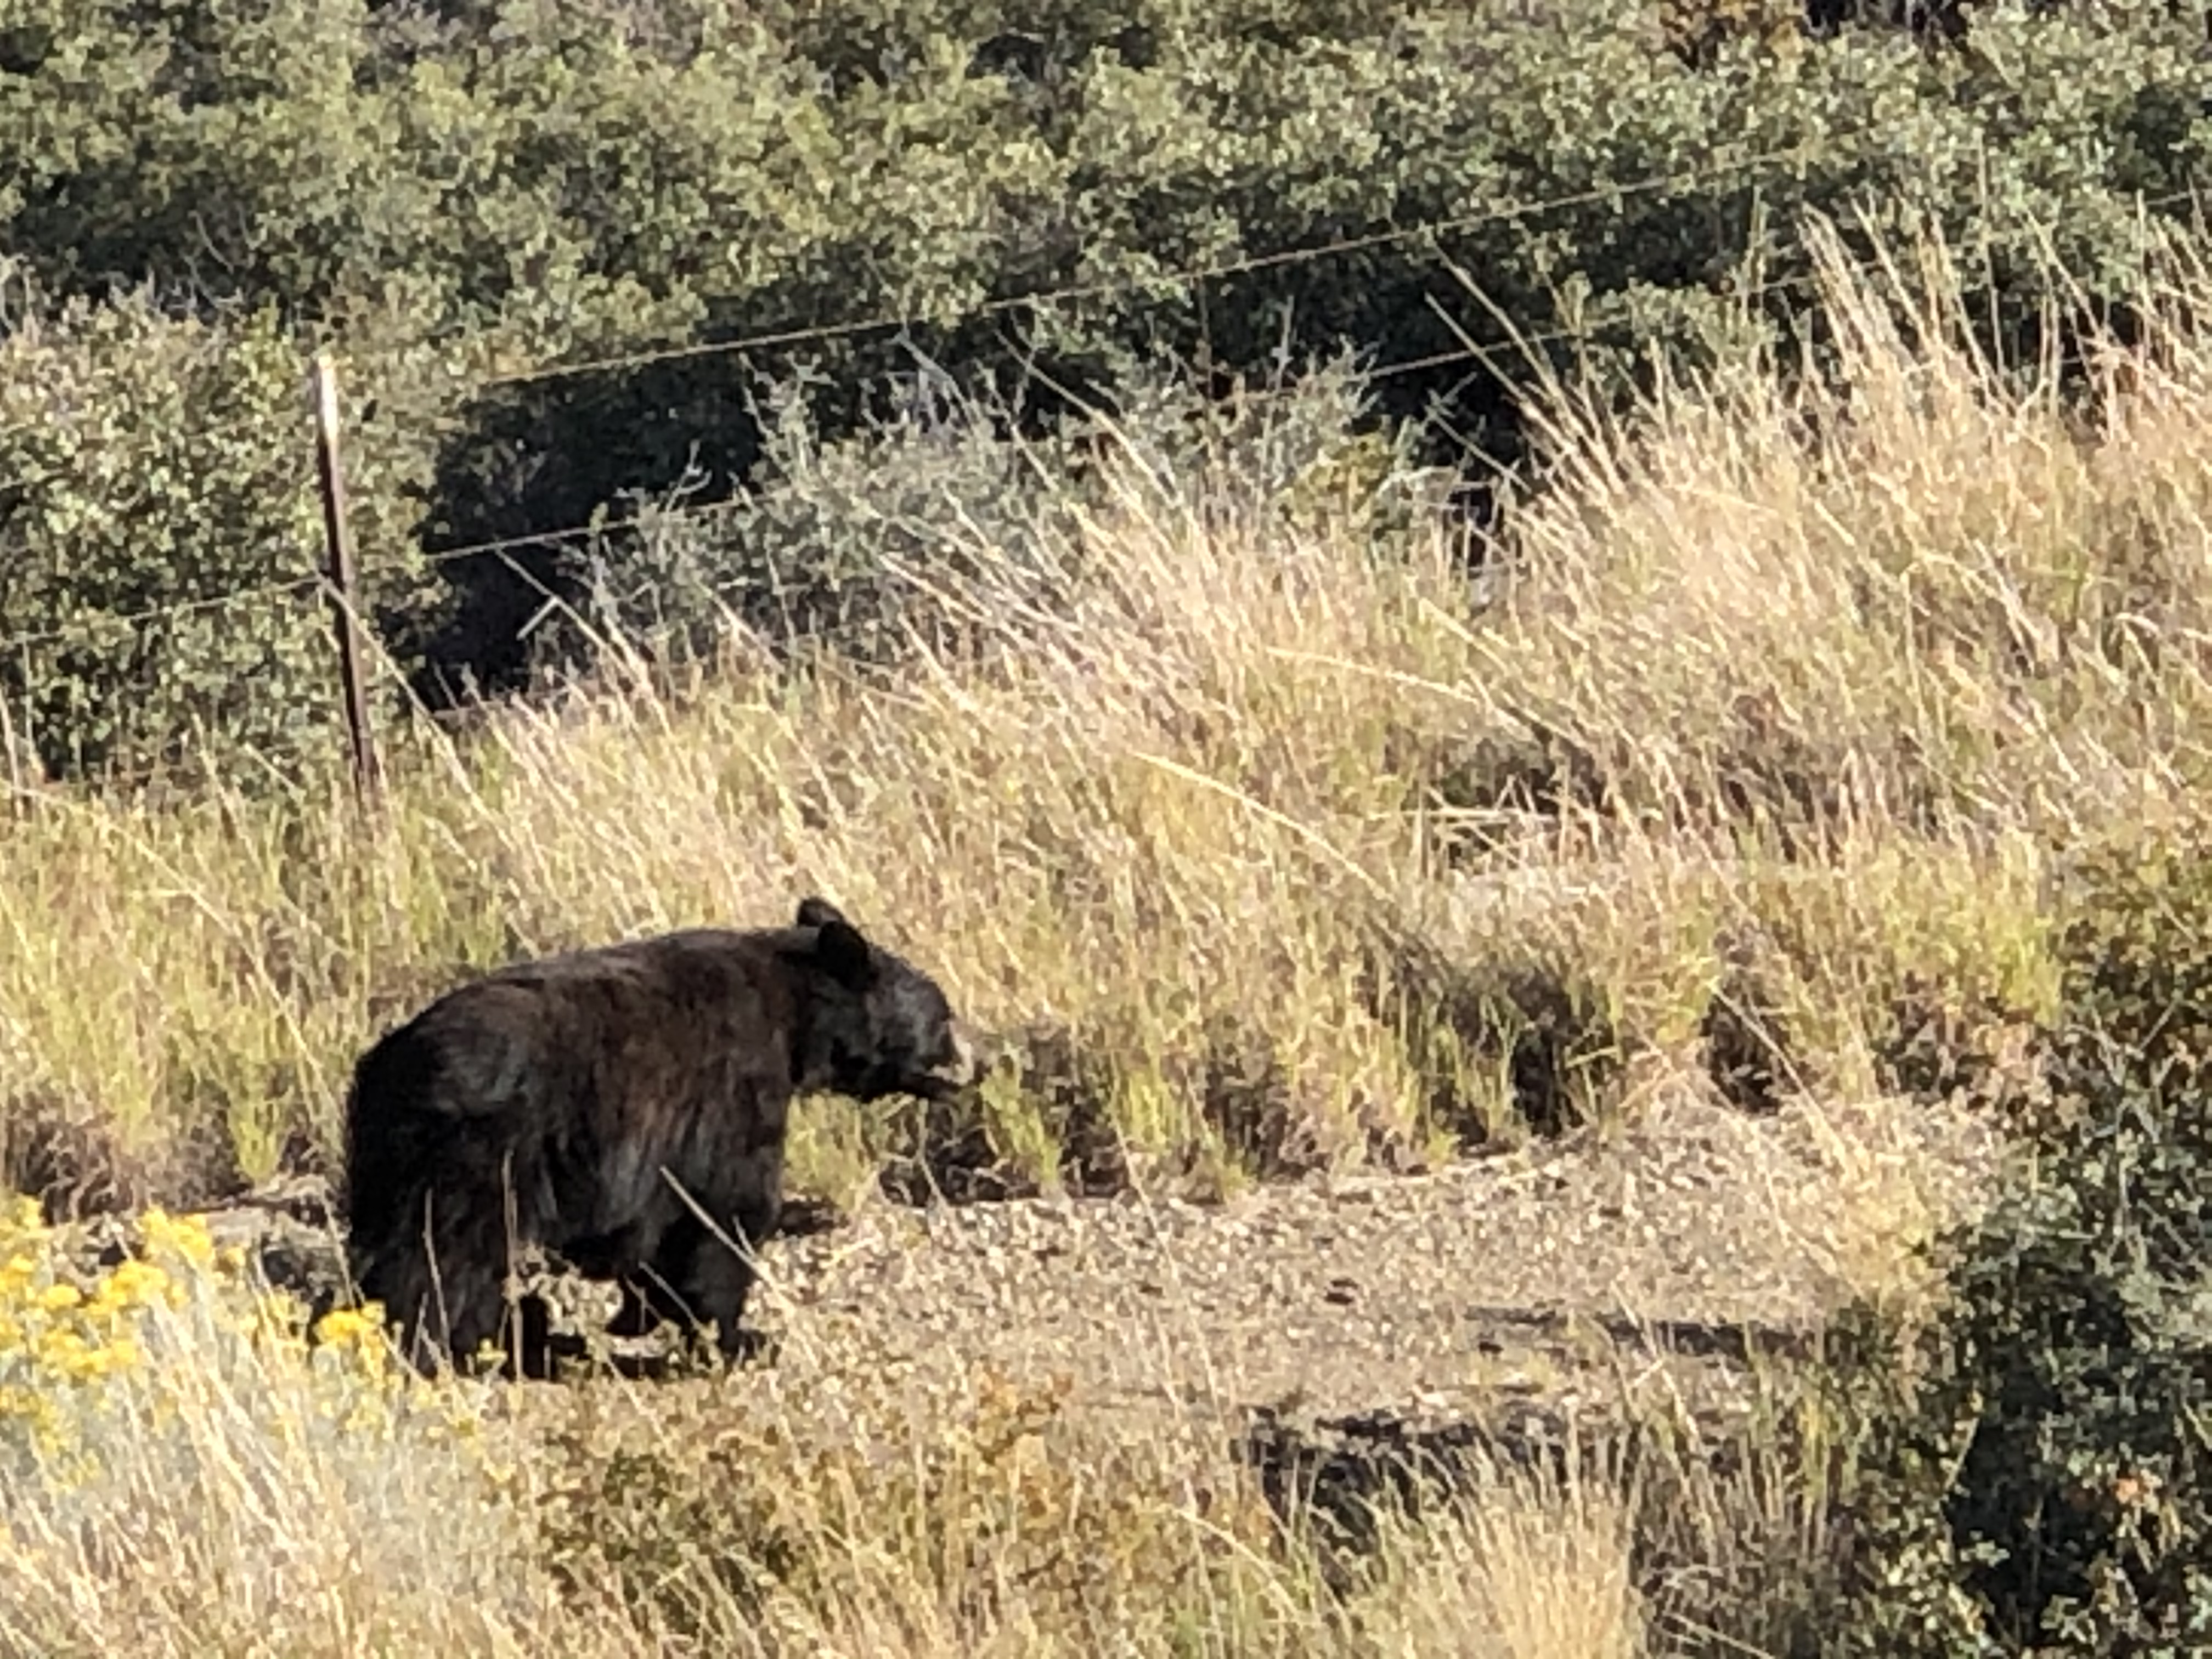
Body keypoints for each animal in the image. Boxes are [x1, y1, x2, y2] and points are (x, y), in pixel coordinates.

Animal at [339, 895, 980, 1376]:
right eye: (943, 1016)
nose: (977, 1059)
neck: (794, 1012)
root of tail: (387, 1067)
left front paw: (643, 1312)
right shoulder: (732, 1090)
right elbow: (722, 1214)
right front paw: (738, 1336)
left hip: (386, 1164)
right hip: (478, 1157)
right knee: (443, 1255)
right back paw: (440, 1343)